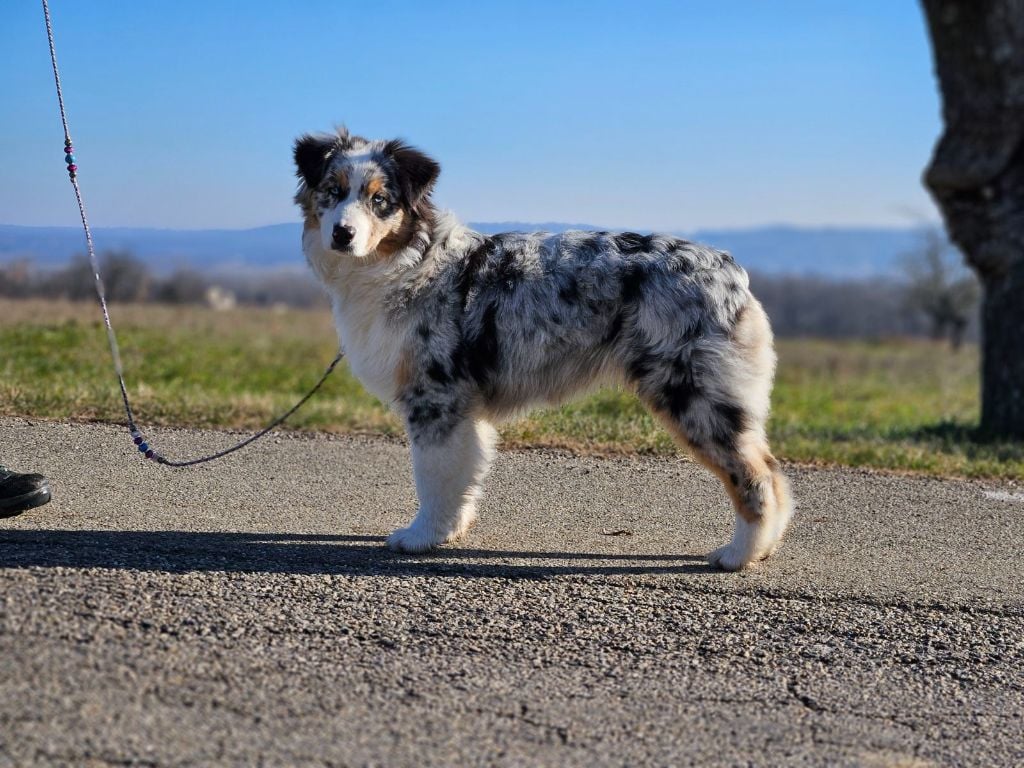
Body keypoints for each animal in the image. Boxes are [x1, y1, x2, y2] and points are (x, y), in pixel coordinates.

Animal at [294, 128, 790, 573]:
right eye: (332, 191)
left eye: (380, 200)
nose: (342, 234)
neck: (408, 262)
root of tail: (730, 270)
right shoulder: (463, 409)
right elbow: (463, 476)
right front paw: (450, 530)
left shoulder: (434, 397)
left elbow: (433, 478)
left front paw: (420, 537)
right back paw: (763, 549)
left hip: (693, 395)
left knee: (758, 476)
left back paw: (739, 555)